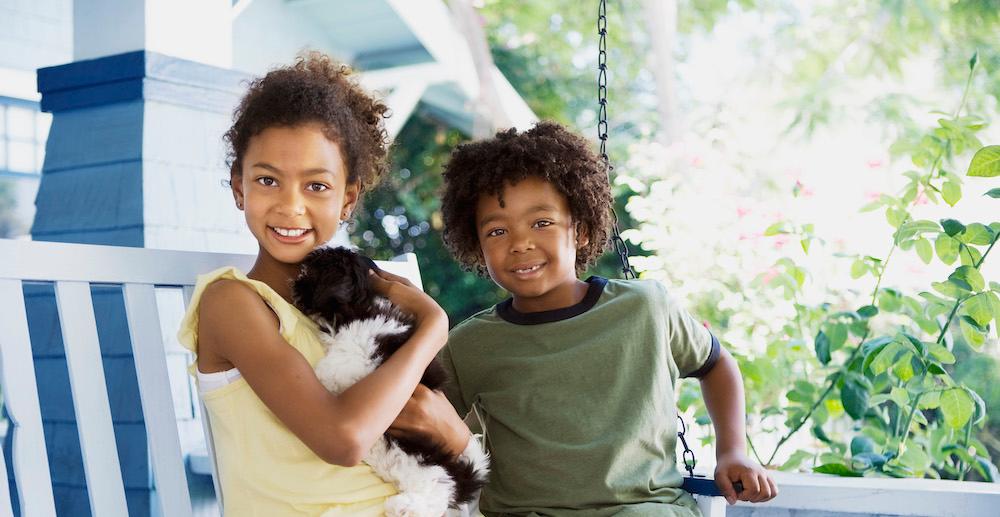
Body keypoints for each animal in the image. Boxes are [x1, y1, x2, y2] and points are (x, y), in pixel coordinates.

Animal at [292, 246, 490, 516]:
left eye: (308, 275)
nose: (293, 283)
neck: (355, 307)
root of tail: (463, 477)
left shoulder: (362, 355)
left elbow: (334, 369)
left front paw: (319, 373)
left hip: (425, 461)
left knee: (436, 490)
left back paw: (403, 507)